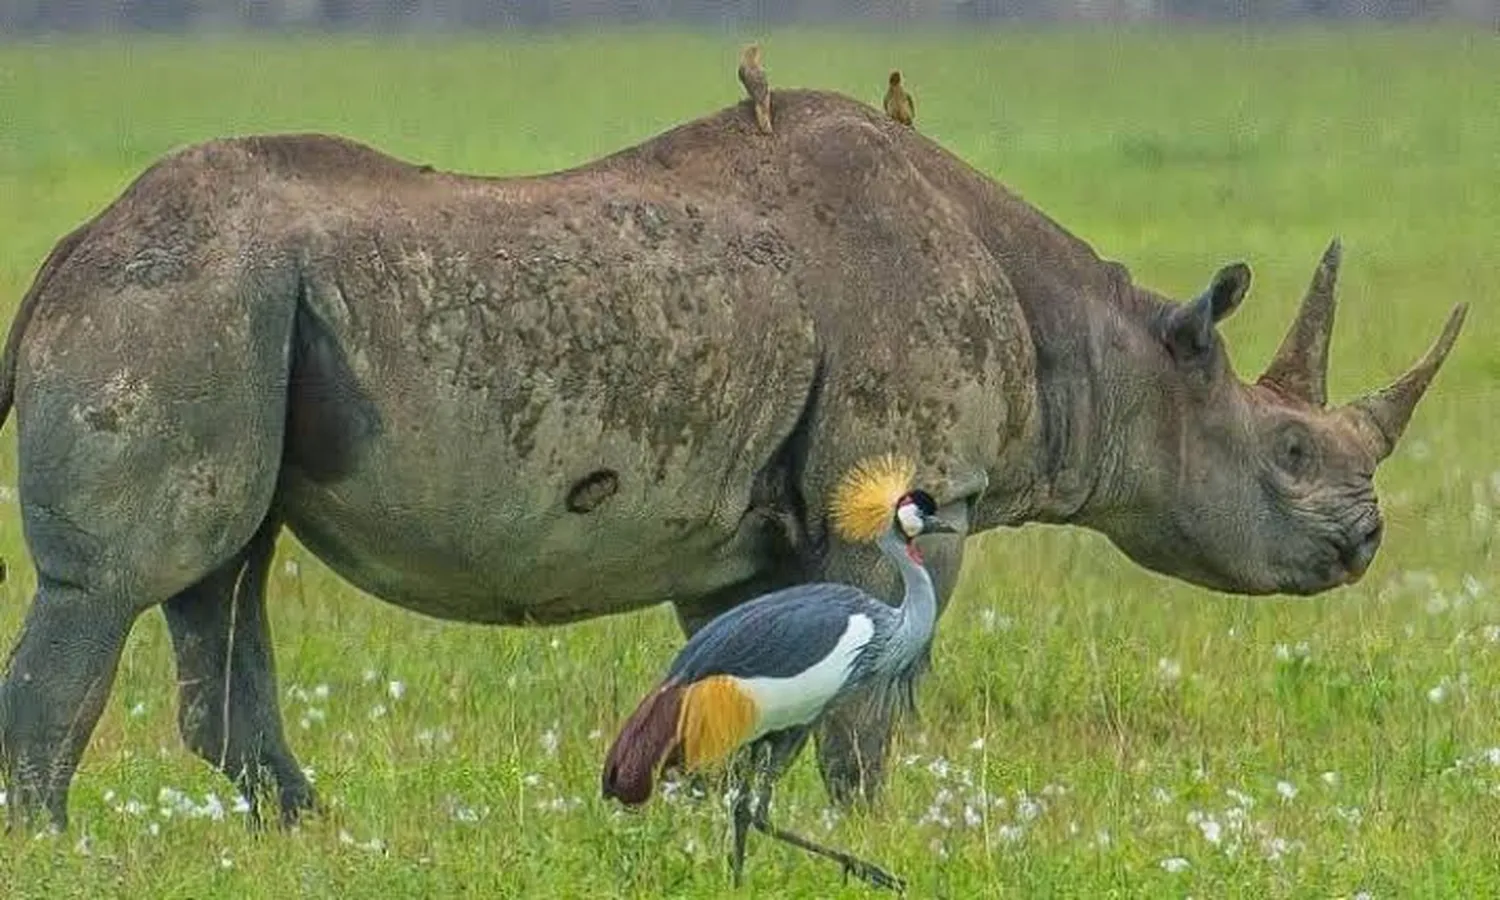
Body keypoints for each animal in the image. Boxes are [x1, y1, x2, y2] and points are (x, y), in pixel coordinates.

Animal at [0, 89, 1465, 831]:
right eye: (1286, 449)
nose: (1363, 544)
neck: (1115, 350)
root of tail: (63, 254)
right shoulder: (908, 495)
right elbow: (871, 704)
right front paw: (878, 833)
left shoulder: (746, 530)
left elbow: (749, 688)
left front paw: (727, 825)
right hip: (179, 296)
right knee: (122, 584)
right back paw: (57, 844)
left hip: (231, 314)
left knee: (222, 573)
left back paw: (309, 831)